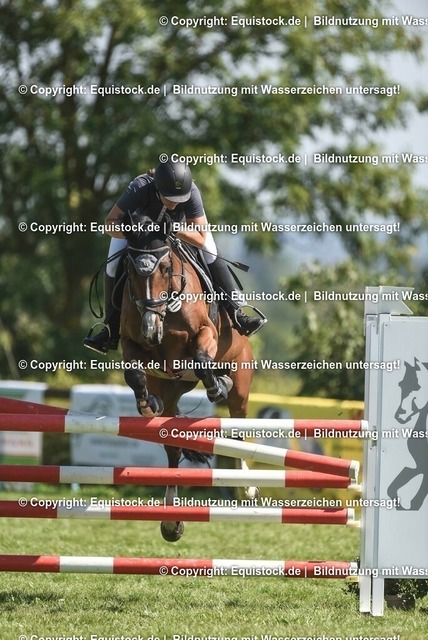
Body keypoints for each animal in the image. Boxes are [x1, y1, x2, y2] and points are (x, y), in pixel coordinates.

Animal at [119, 213, 256, 541]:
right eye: (129, 269)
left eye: (166, 267)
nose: (150, 328)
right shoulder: (132, 343)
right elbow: (134, 373)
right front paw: (146, 404)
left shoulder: (205, 333)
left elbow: (203, 359)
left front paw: (217, 387)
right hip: (173, 392)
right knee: (172, 445)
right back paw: (171, 521)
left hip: (242, 382)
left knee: (238, 426)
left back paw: (246, 488)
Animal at [387, 358, 428, 510]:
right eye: (401, 385)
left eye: (417, 387)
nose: (399, 416)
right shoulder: (418, 466)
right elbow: (393, 488)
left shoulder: (423, 468)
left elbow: (417, 500)